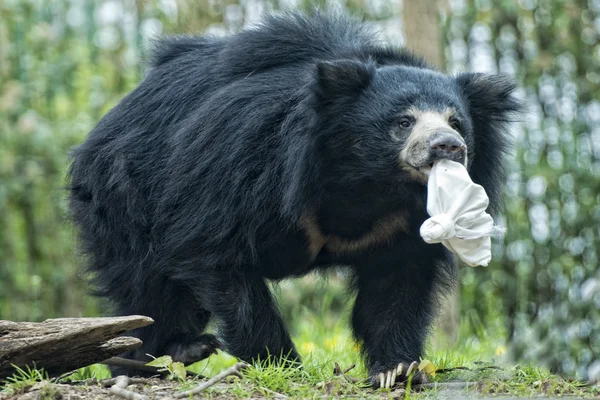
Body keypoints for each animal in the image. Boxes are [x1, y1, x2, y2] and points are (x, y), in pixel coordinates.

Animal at [68, 10, 524, 388]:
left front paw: (396, 370)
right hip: (122, 192)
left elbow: (397, 285)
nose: (447, 146)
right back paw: (154, 357)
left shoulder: (401, 224)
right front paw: (283, 365)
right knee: (146, 286)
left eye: (456, 122)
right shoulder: (245, 156)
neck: (369, 182)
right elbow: (215, 252)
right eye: (403, 122)